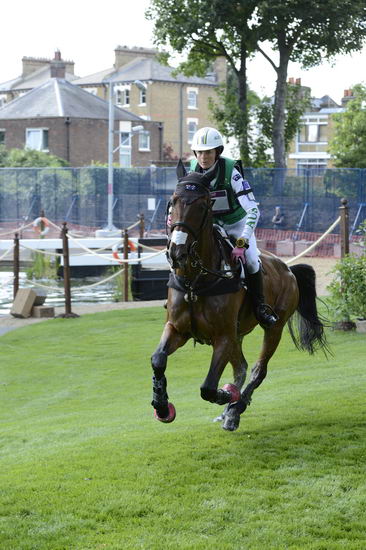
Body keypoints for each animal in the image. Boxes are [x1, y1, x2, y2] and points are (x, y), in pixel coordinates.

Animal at [150, 160, 328, 432]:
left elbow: (208, 387)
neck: (195, 281)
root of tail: (288, 269)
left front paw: (228, 396)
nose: (177, 252)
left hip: (273, 328)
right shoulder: (177, 329)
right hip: (239, 334)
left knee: (257, 370)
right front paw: (162, 406)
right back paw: (228, 411)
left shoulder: (223, 336)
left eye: (202, 205)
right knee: (241, 367)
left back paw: (235, 409)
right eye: (173, 201)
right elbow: (158, 359)